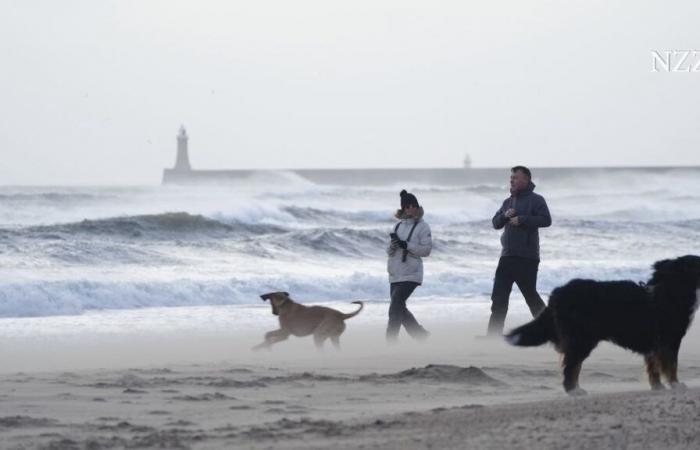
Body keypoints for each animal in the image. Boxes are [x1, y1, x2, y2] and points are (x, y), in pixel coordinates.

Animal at [506, 255, 700, 396]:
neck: (670, 292)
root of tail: (558, 292)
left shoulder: (655, 344)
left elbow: (653, 368)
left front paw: (657, 386)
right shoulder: (669, 341)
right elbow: (672, 366)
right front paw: (675, 384)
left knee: (573, 365)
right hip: (582, 339)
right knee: (571, 366)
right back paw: (573, 390)